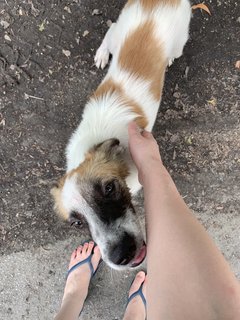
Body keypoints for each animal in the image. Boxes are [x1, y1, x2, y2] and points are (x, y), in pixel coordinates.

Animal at [51, 0, 192, 270]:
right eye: (77, 222)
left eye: (109, 188)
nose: (122, 255)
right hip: (121, 29)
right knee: (111, 31)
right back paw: (102, 53)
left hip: (180, 40)